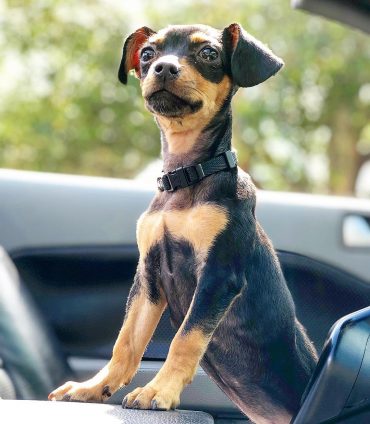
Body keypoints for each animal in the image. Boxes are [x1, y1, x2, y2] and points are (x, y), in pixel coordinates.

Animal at [47, 24, 316, 424]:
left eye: (208, 54)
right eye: (147, 54)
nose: (164, 68)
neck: (186, 175)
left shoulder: (218, 275)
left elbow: (186, 339)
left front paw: (158, 391)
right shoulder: (149, 276)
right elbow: (127, 340)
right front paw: (94, 387)